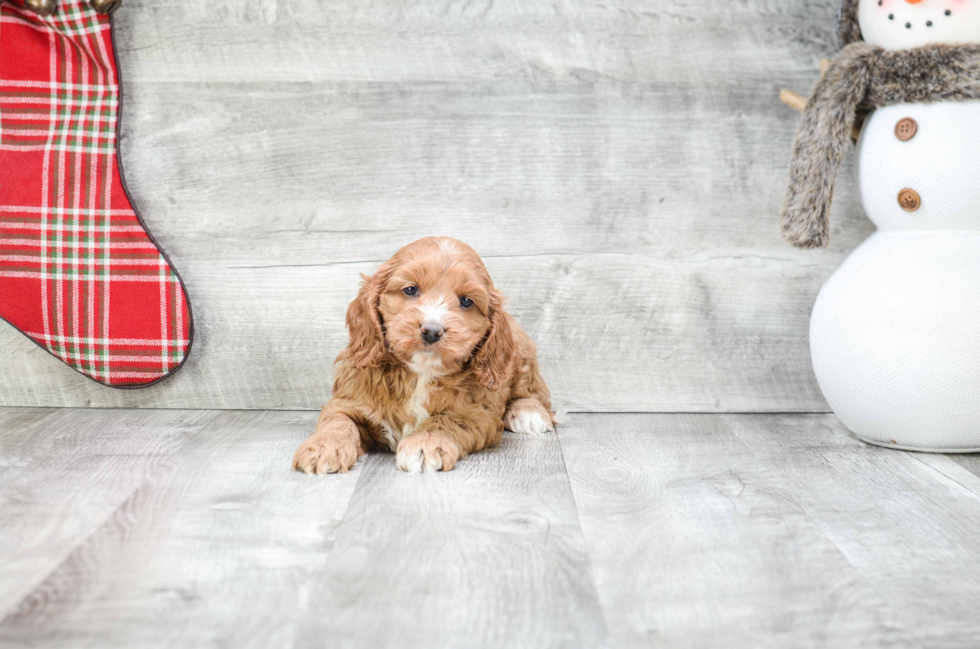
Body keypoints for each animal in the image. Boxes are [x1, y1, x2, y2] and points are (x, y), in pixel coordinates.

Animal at [290, 235, 556, 474]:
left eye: (466, 301)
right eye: (410, 290)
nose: (432, 330)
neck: (421, 372)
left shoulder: (477, 413)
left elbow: (445, 420)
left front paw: (424, 445)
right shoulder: (348, 398)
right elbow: (337, 421)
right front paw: (324, 448)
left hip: (523, 353)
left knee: (534, 392)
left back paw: (528, 413)